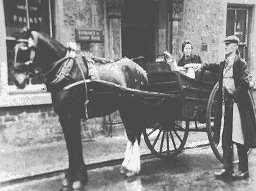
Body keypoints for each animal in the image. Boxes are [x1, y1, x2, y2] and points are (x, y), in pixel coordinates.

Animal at [12, 29, 148, 190]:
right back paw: (126, 167)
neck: (67, 72)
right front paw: (71, 178)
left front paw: (77, 179)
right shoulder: (64, 117)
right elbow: (70, 146)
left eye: (25, 49)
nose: (17, 81)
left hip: (132, 105)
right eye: (13, 49)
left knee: (135, 133)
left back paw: (132, 168)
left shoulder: (71, 115)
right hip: (124, 107)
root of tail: (141, 69)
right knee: (131, 133)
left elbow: (75, 145)